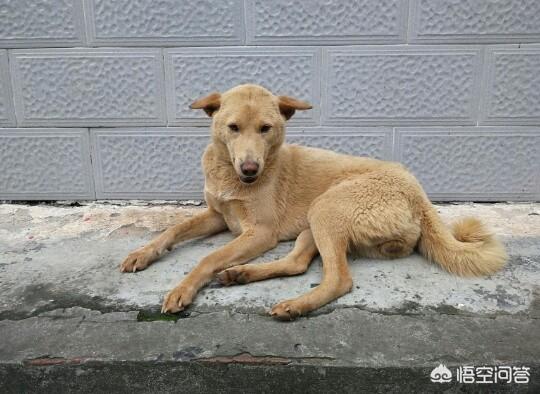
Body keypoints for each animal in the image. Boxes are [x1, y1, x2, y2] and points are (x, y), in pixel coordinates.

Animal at [120, 84, 508, 320]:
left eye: (266, 128)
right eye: (232, 127)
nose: (250, 169)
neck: (229, 172)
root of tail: (419, 193)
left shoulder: (259, 232)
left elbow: (207, 258)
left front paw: (183, 289)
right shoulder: (218, 214)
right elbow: (172, 230)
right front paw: (142, 253)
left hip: (326, 209)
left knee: (339, 280)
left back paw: (294, 305)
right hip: (313, 224)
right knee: (297, 264)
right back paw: (241, 274)